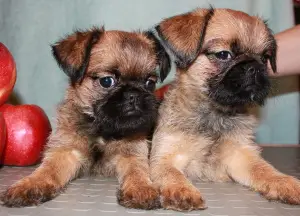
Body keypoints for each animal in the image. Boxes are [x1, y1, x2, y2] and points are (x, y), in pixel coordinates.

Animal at [0, 27, 171, 209]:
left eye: (150, 83)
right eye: (107, 81)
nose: (134, 95)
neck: (101, 129)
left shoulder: (131, 153)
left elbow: (137, 170)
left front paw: (141, 188)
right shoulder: (66, 151)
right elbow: (47, 170)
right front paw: (29, 185)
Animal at [151, 7, 300, 212]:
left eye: (264, 58)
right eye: (223, 55)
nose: (255, 67)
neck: (215, 113)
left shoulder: (242, 157)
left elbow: (264, 169)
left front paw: (284, 182)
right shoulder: (164, 157)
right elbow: (171, 173)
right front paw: (181, 190)